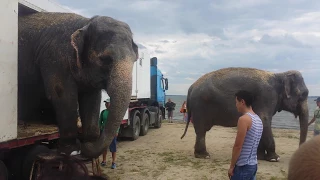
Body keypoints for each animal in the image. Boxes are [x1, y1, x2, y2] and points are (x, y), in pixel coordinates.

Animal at [17, 12, 138, 158]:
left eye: (135, 60)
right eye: (105, 59)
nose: (83, 144)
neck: (85, 23)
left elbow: (92, 98)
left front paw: (87, 143)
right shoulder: (55, 58)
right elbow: (63, 95)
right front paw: (70, 151)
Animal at [182, 67, 310, 162]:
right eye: (304, 94)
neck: (279, 75)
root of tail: (191, 87)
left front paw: (259, 157)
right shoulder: (266, 96)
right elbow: (264, 120)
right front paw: (275, 158)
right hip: (200, 106)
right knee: (201, 130)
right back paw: (204, 156)